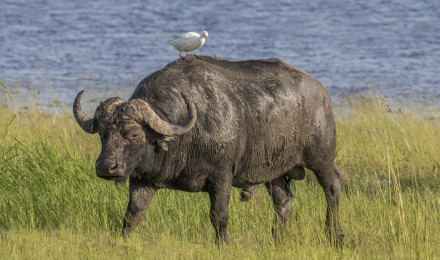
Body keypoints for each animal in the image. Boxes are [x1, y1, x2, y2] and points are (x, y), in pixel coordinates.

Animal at [73, 54, 344, 244]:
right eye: (103, 134)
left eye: (133, 134)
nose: (106, 167)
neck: (186, 136)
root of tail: (321, 92)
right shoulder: (143, 180)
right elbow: (132, 214)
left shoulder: (222, 177)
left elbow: (218, 215)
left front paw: (223, 244)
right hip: (274, 172)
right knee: (283, 202)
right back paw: (277, 238)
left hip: (321, 158)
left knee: (332, 188)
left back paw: (335, 235)